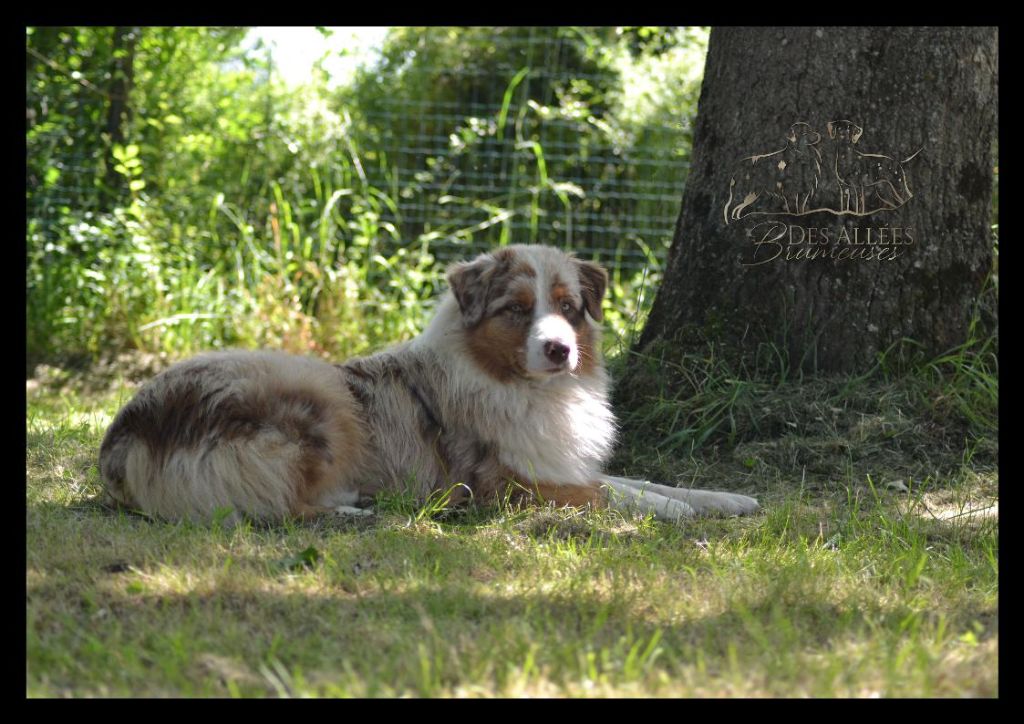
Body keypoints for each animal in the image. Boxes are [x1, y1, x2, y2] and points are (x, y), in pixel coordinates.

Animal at [99, 246, 761, 524]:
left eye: (570, 308)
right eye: (517, 309)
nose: (561, 350)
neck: (522, 386)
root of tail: (125, 432)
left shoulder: (555, 461)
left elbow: (639, 480)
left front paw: (726, 499)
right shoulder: (508, 483)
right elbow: (614, 494)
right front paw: (680, 512)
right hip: (319, 400)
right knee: (275, 505)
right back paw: (353, 512)